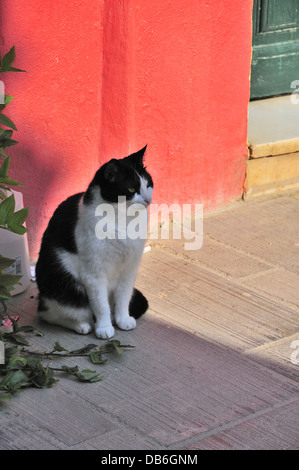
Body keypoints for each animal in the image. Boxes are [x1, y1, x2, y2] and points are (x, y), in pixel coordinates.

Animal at [35, 146, 154, 338]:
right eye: (131, 189)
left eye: (148, 184)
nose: (148, 200)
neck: (124, 221)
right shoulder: (94, 274)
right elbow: (100, 305)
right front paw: (104, 328)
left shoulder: (129, 269)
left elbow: (123, 297)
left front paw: (122, 320)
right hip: (66, 286)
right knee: (52, 313)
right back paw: (81, 325)